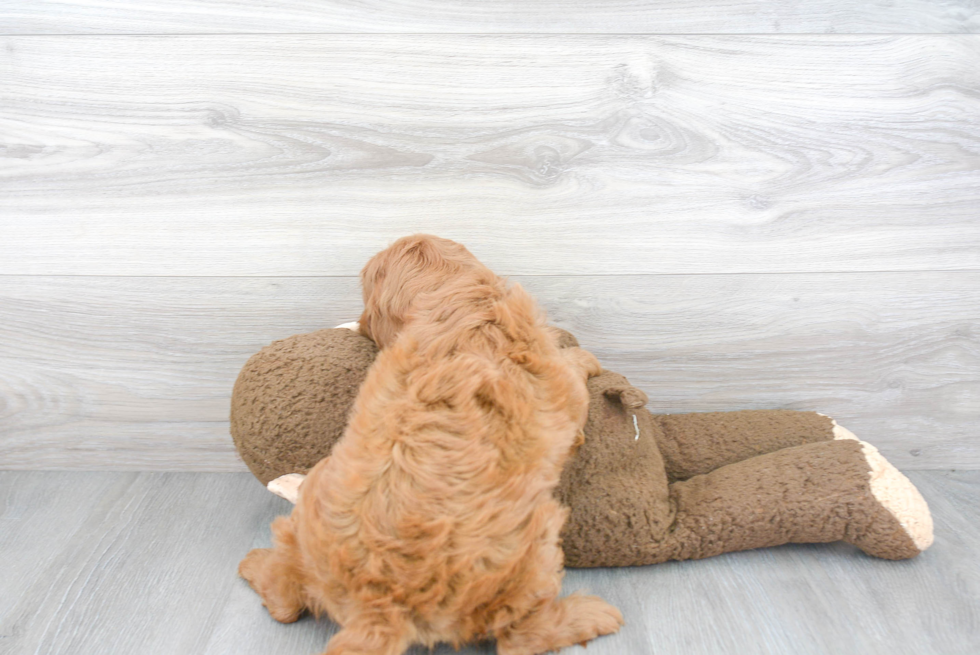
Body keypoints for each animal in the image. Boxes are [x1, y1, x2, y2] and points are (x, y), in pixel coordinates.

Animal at [239, 237, 620, 655]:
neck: (457, 299)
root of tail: (379, 604)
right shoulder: (563, 387)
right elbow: (575, 368)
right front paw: (585, 357)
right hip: (534, 549)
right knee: (523, 636)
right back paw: (593, 614)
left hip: (311, 513)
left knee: (284, 599)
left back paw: (256, 555)